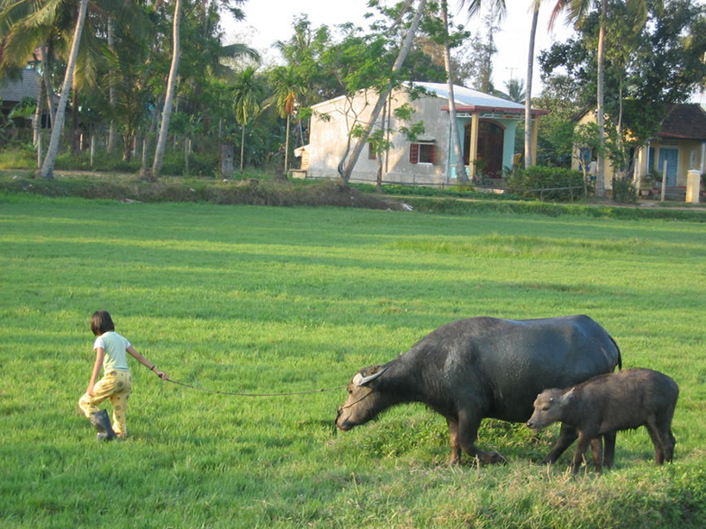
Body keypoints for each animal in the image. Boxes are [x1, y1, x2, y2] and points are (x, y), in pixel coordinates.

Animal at [332, 316, 620, 464]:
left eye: (350, 391)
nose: (339, 418)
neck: (436, 361)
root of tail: (605, 338)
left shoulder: (472, 408)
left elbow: (467, 441)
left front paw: (494, 457)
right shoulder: (451, 412)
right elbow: (454, 440)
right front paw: (452, 463)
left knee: (568, 434)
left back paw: (547, 460)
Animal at [524, 368, 672, 474]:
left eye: (545, 408)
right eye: (534, 405)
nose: (530, 423)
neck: (579, 404)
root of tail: (673, 384)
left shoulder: (587, 432)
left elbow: (579, 454)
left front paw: (573, 473)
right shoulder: (591, 434)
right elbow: (595, 454)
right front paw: (598, 473)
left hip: (661, 420)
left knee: (669, 442)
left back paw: (668, 466)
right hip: (649, 424)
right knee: (657, 444)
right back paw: (658, 465)